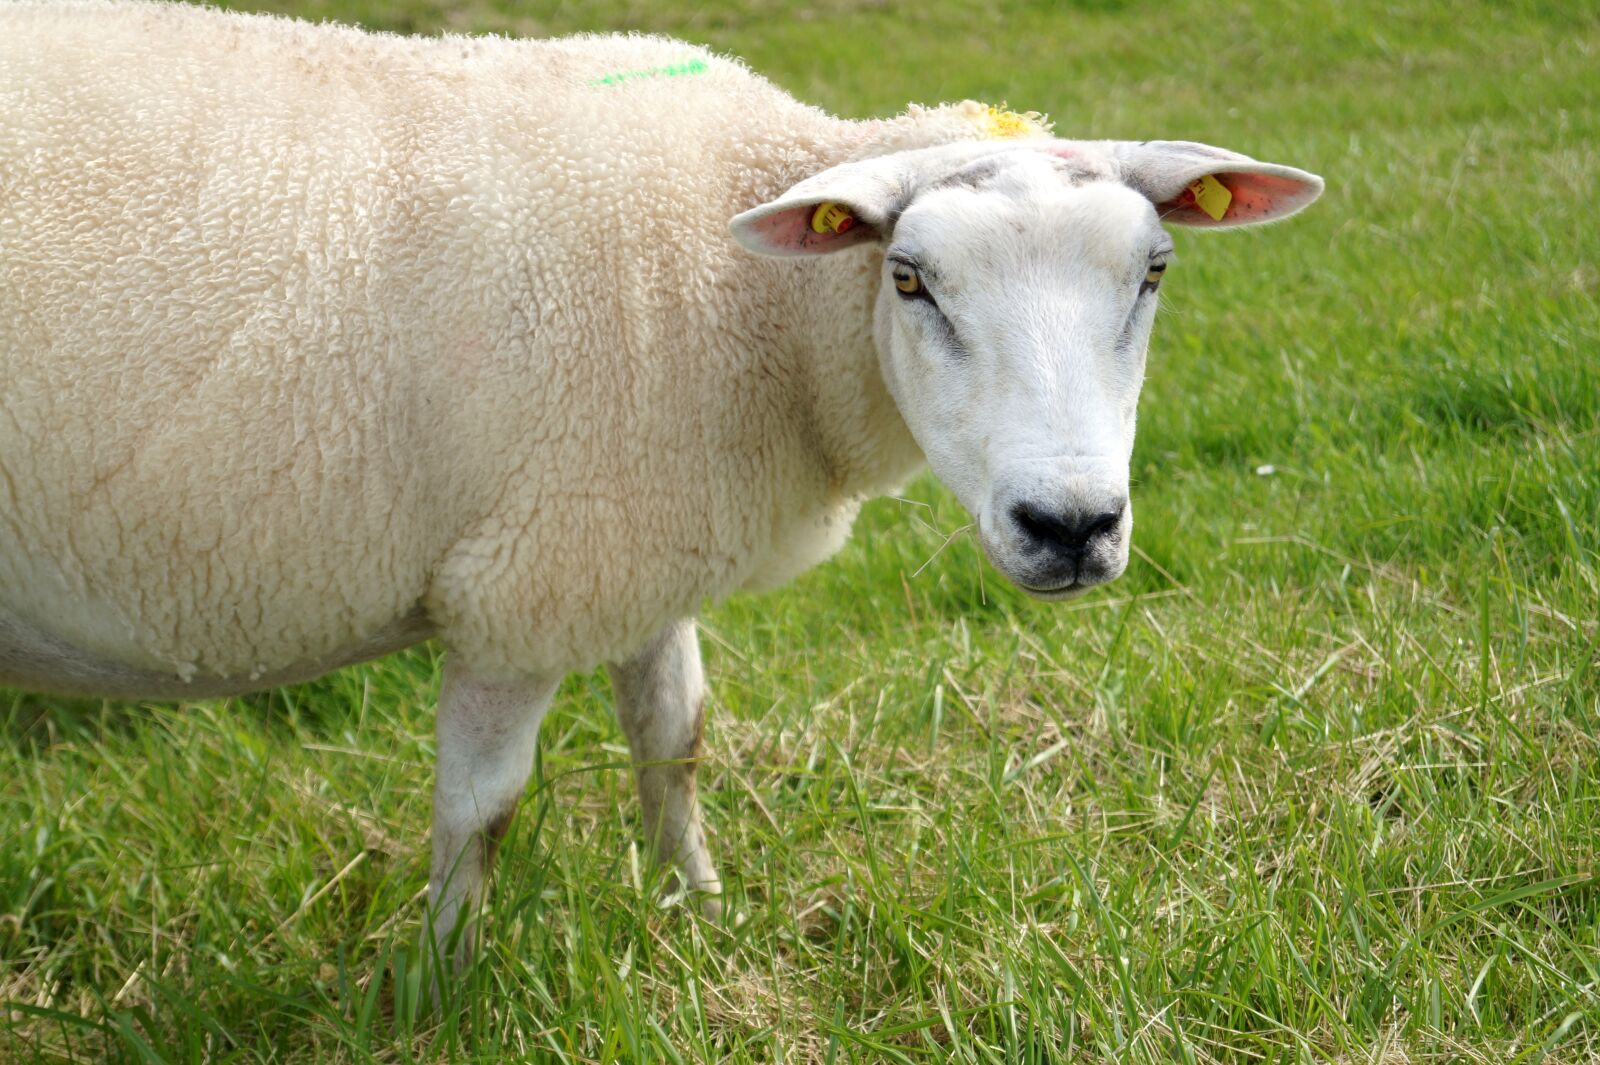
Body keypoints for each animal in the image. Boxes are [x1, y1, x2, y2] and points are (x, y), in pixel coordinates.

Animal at [0, 0, 1324, 969]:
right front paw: (439, 983)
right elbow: (479, 813)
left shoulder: (642, 539)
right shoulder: (528, 584)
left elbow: (674, 739)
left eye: (1152, 271)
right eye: (907, 280)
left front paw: (698, 904)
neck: (753, 297)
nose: (1071, 526)